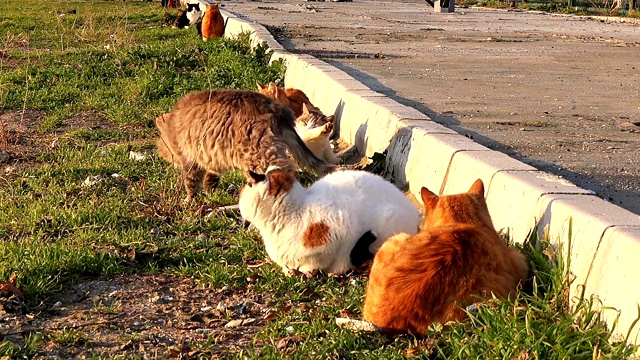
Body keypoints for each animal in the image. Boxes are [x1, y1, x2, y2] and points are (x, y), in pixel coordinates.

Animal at [156, 89, 336, 202]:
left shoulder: (190, 158)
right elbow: (211, 178)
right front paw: (210, 192)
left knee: (285, 170)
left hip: (257, 152)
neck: (174, 124)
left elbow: (191, 183)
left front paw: (189, 199)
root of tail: (277, 109)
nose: (164, 156)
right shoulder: (212, 155)